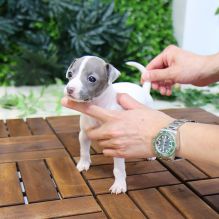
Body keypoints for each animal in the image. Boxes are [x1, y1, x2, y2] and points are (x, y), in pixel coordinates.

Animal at [63, 55, 153, 194]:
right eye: (70, 74)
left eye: (92, 79)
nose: (69, 89)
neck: (98, 104)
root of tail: (143, 90)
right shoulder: (84, 134)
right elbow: (84, 151)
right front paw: (83, 164)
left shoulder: (118, 142)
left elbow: (119, 168)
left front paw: (119, 184)